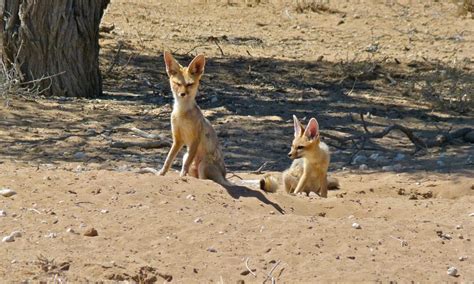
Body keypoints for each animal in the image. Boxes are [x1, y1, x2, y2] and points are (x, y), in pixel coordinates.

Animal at [158, 51, 229, 186]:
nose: (182, 94)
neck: (182, 113)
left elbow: (184, 165)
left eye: (189, 84)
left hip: (203, 165)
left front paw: (181, 176)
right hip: (186, 156)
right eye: (178, 84)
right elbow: (168, 160)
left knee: (206, 180)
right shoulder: (177, 140)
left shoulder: (195, 140)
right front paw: (161, 173)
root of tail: (224, 175)